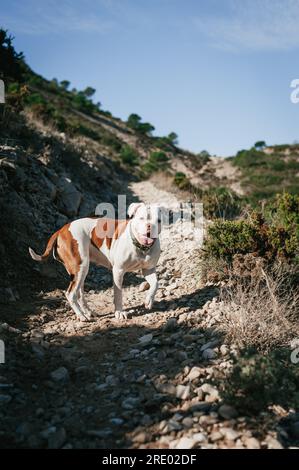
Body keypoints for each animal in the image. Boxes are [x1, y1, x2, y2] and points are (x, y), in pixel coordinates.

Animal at [29, 204, 162, 322]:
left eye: (158, 220)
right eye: (141, 218)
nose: (150, 226)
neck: (142, 248)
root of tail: (61, 230)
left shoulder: (149, 270)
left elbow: (155, 284)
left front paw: (149, 300)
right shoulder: (118, 271)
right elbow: (118, 294)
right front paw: (119, 312)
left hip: (80, 271)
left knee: (79, 293)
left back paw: (88, 312)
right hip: (80, 267)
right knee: (70, 294)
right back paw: (81, 316)